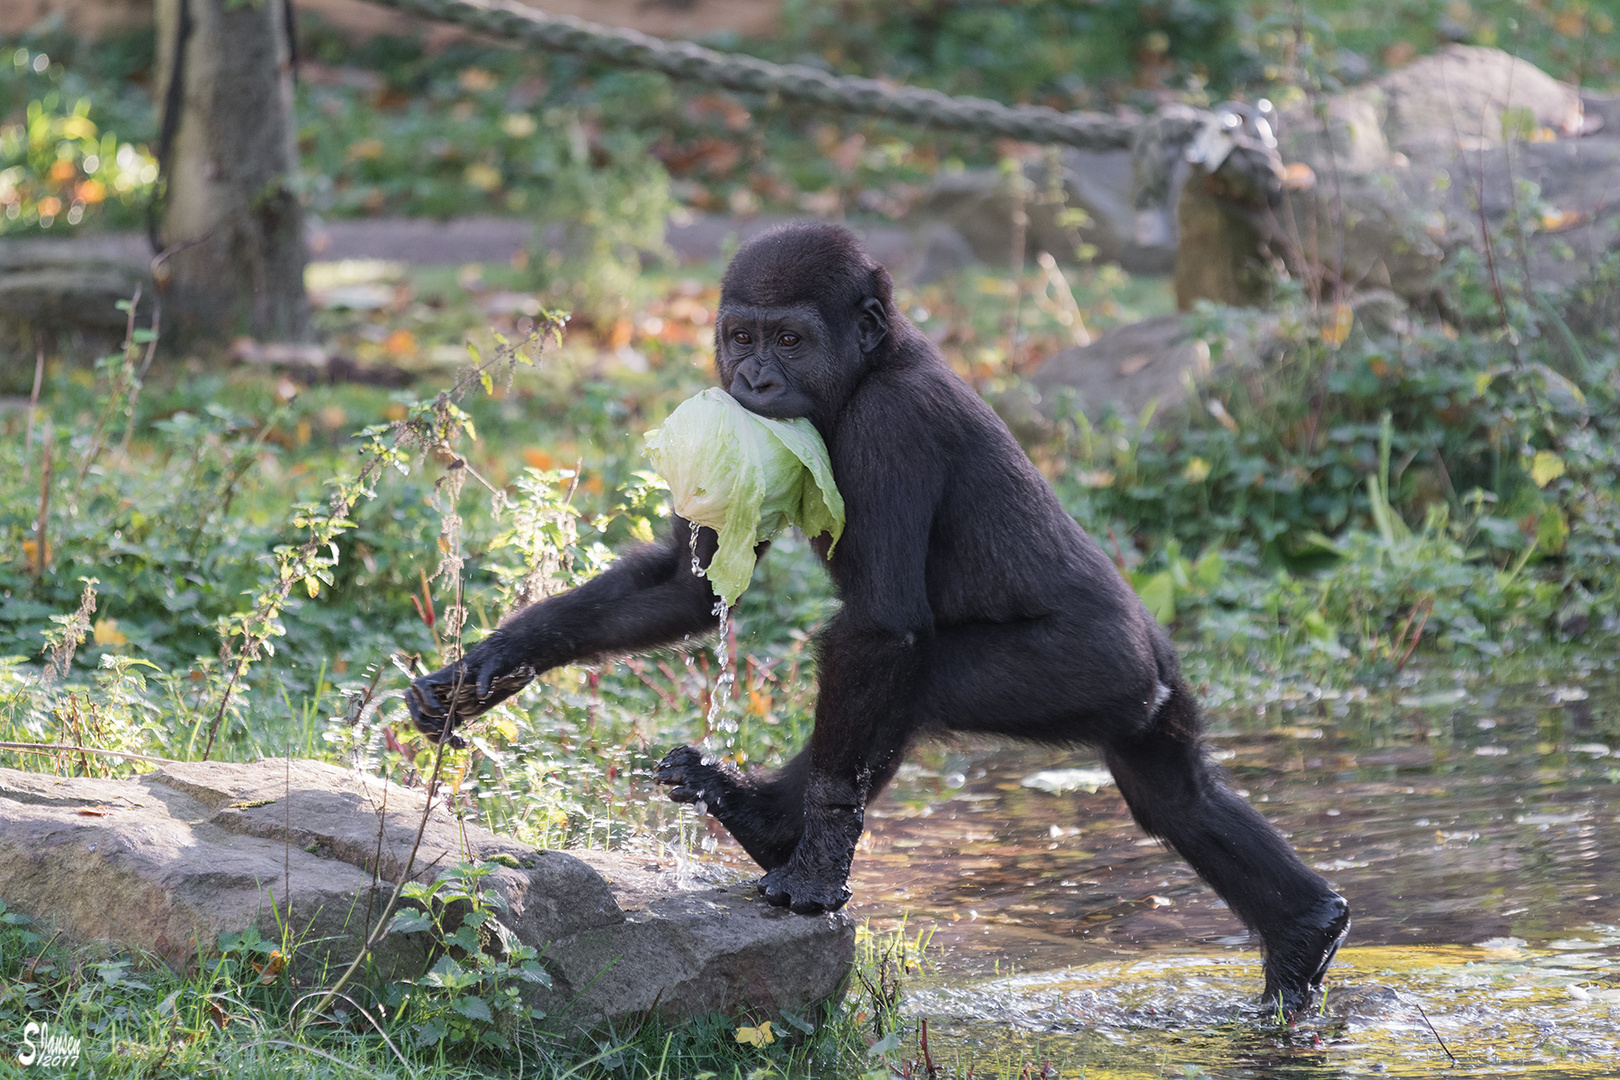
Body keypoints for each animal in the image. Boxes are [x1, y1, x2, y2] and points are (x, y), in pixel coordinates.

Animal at [408, 220, 1354, 1016]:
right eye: (742, 336)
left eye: (790, 340)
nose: (752, 379)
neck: (875, 360)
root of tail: (1153, 656)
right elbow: (682, 584)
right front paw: (491, 663)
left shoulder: (890, 428)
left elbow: (880, 630)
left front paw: (818, 858)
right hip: (1146, 695)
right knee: (1175, 795)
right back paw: (1301, 928)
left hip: (1093, 664)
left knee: (915, 678)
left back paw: (774, 829)